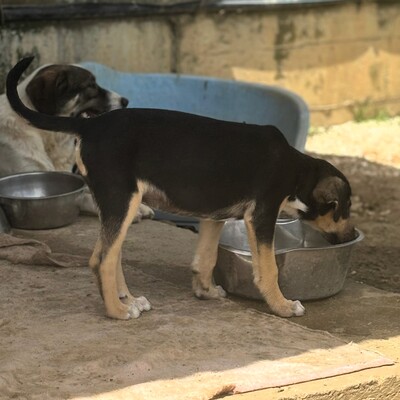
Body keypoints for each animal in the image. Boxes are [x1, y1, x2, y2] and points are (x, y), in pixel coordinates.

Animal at [6, 57, 356, 318]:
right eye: (345, 207)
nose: (352, 236)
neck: (296, 170)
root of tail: (89, 124)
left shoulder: (214, 216)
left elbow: (205, 259)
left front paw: (205, 291)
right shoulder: (262, 215)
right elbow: (268, 268)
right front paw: (282, 306)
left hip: (116, 204)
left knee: (108, 254)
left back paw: (128, 300)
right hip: (123, 199)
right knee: (101, 259)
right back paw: (117, 312)